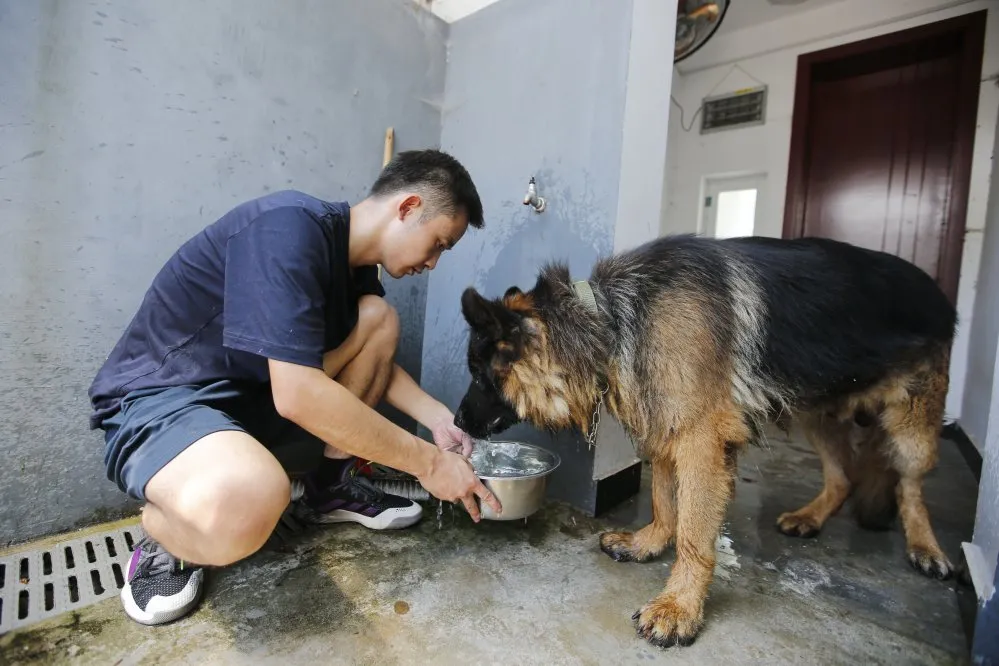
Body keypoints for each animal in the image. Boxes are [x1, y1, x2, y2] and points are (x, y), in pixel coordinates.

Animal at [456, 232, 960, 644]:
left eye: (480, 377)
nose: (457, 422)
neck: (610, 318)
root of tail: (936, 288)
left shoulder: (700, 443)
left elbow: (695, 533)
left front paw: (679, 606)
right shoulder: (666, 422)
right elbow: (663, 499)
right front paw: (649, 544)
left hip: (911, 426)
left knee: (909, 485)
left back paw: (925, 547)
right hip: (819, 413)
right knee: (843, 477)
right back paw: (810, 517)